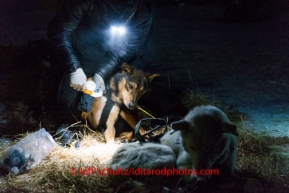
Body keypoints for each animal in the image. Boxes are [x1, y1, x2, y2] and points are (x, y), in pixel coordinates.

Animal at [107, 106, 260, 192]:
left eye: (211, 149)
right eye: (192, 147)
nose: (200, 172)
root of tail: (112, 164)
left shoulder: (229, 172)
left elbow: (250, 181)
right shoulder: (183, 166)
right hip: (166, 155)